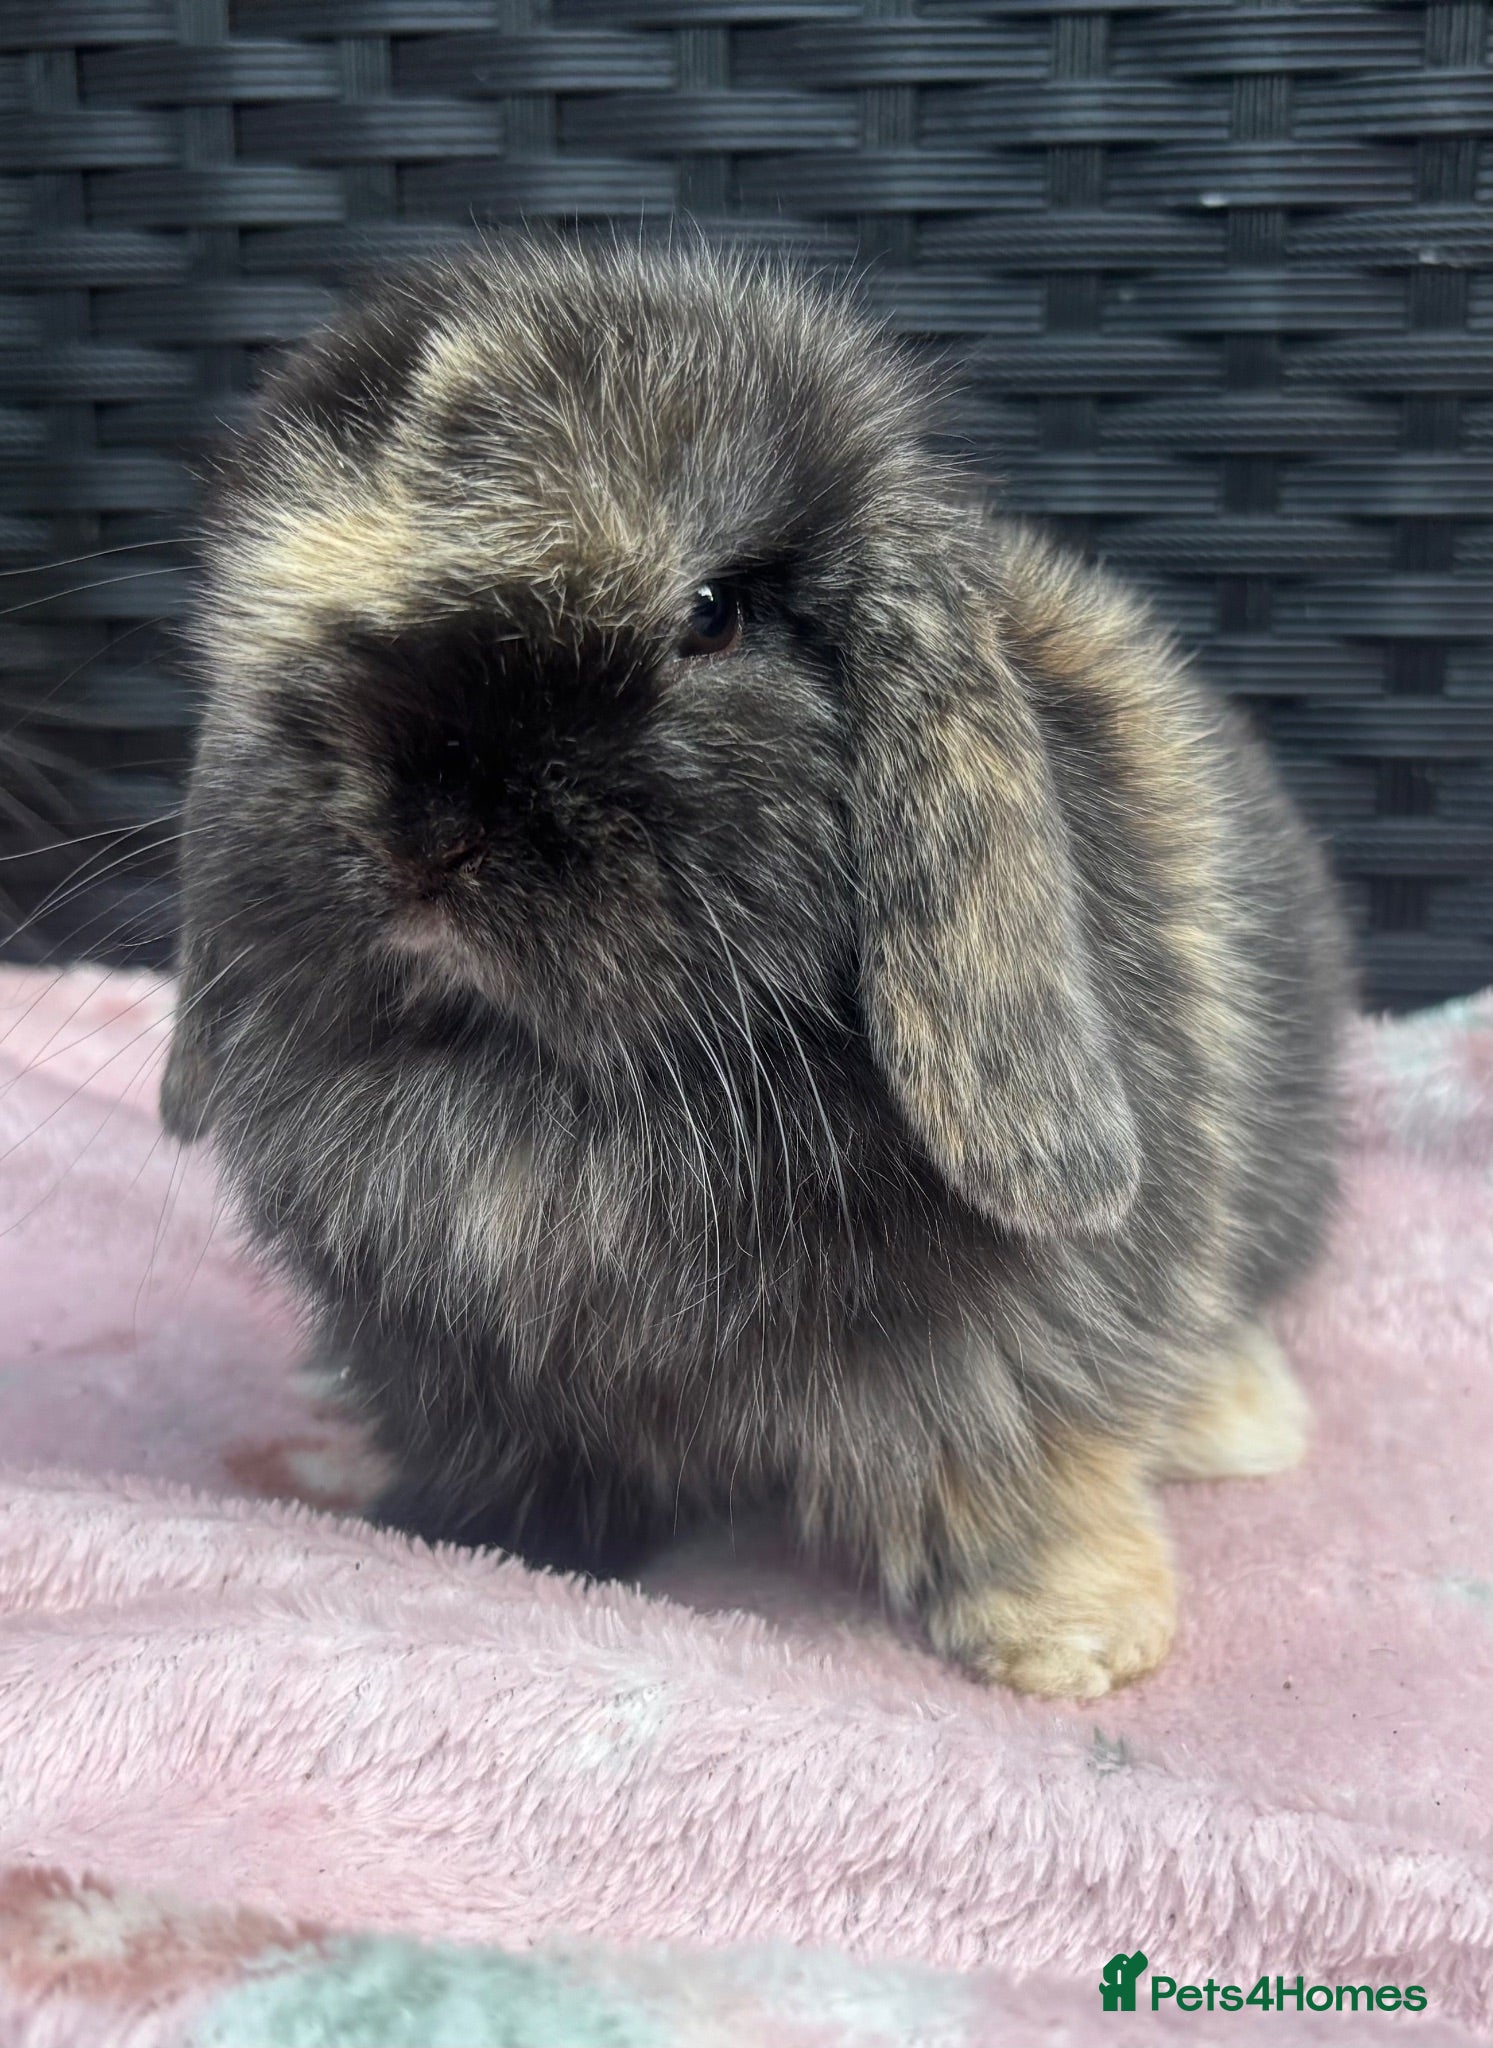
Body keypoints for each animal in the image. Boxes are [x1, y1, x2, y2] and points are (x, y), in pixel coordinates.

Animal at [161, 234, 1349, 1698]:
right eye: (281, 624)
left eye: (713, 614)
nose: (426, 832)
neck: (560, 1089)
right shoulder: (448, 1358)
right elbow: (503, 1473)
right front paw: (458, 1541)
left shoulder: (1032, 1341)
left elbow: (1028, 1466)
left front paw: (1070, 1646)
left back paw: (1240, 1422)